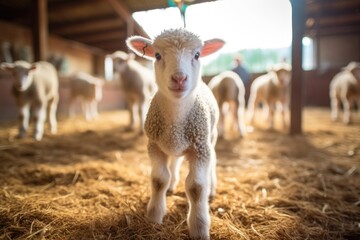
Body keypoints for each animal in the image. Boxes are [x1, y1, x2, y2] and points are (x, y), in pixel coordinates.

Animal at [125, 28, 224, 238]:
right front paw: (154, 217)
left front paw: (199, 228)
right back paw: (171, 186)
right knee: (174, 162)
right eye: (157, 55)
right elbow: (158, 180)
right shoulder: (154, 145)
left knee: (213, 161)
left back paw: (212, 188)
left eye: (197, 55)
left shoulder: (200, 148)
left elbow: (196, 187)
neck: (176, 120)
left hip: (210, 138)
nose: (179, 78)